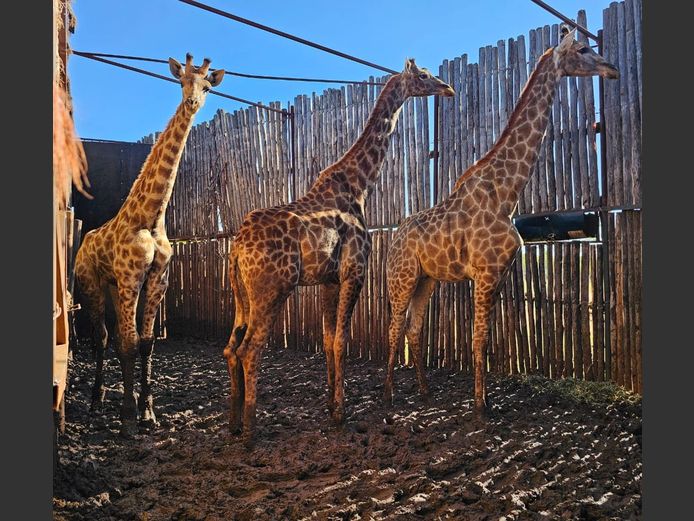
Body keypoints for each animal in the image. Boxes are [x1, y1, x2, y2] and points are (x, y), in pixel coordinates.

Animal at [74, 54, 225, 437]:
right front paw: (128, 417)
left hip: (114, 288)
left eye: (207, 86)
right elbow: (128, 342)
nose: (192, 102)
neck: (151, 216)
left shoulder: (157, 281)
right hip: (92, 285)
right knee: (101, 337)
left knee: (113, 336)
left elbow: (145, 343)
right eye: (181, 81)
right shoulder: (131, 280)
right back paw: (95, 402)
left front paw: (148, 413)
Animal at [223, 59, 454, 447]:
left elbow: (328, 339)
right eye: (423, 75)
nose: (447, 88)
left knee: (230, 347)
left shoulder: (328, 280)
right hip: (272, 290)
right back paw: (251, 432)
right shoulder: (354, 271)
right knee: (249, 349)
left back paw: (233, 424)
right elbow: (342, 340)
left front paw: (330, 406)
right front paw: (341, 414)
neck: (360, 187)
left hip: (242, 294)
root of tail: (238, 247)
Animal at [383, 27, 619, 415]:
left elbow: (487, 338)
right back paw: (389, 392)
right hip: (401, 277)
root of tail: (394, 236)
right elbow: (478, 339)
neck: (506, 194)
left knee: (413, 328)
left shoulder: (499, 273)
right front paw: (480, 406)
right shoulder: (485, 271)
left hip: (426, 279)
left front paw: (486, 398)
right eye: (584, 49)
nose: (612, 69)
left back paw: (425, 392)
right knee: (393, 326)